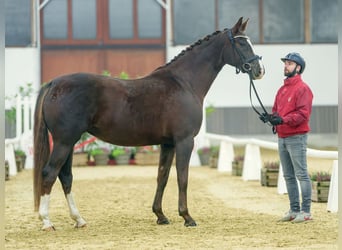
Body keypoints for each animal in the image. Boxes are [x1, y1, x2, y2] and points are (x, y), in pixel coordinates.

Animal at [33, 17, 264, 230]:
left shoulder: (168, 143)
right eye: (241, 43)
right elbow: (182, 177)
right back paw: (47, 221)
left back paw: (78, 219)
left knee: (65, 176)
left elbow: (162, 176)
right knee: (49, 173)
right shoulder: (184, 141)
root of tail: (54, 83)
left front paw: (160, 215)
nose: (259, 70)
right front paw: (187, 217)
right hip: (64, 142)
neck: (184, 83)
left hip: (69, 142)